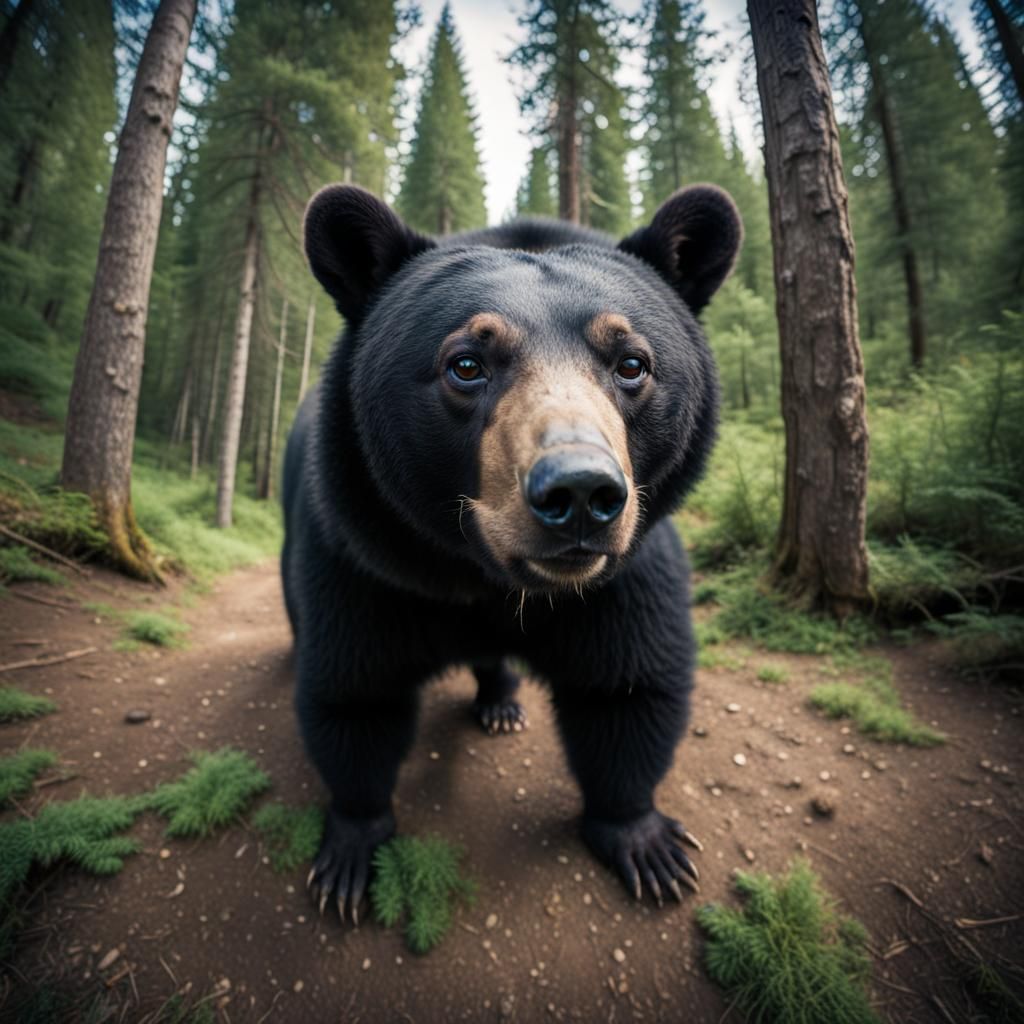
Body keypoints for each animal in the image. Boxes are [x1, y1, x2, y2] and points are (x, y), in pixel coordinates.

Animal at [282, 182, 742, 922]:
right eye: (466, 363)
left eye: (631, 363)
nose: (580, 491)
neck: (482, 577)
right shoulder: (365, 558)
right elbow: (355, 689)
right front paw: (351, 851)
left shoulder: (623, 574)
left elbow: (629, 684)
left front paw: (647, 844)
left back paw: (500, 701)